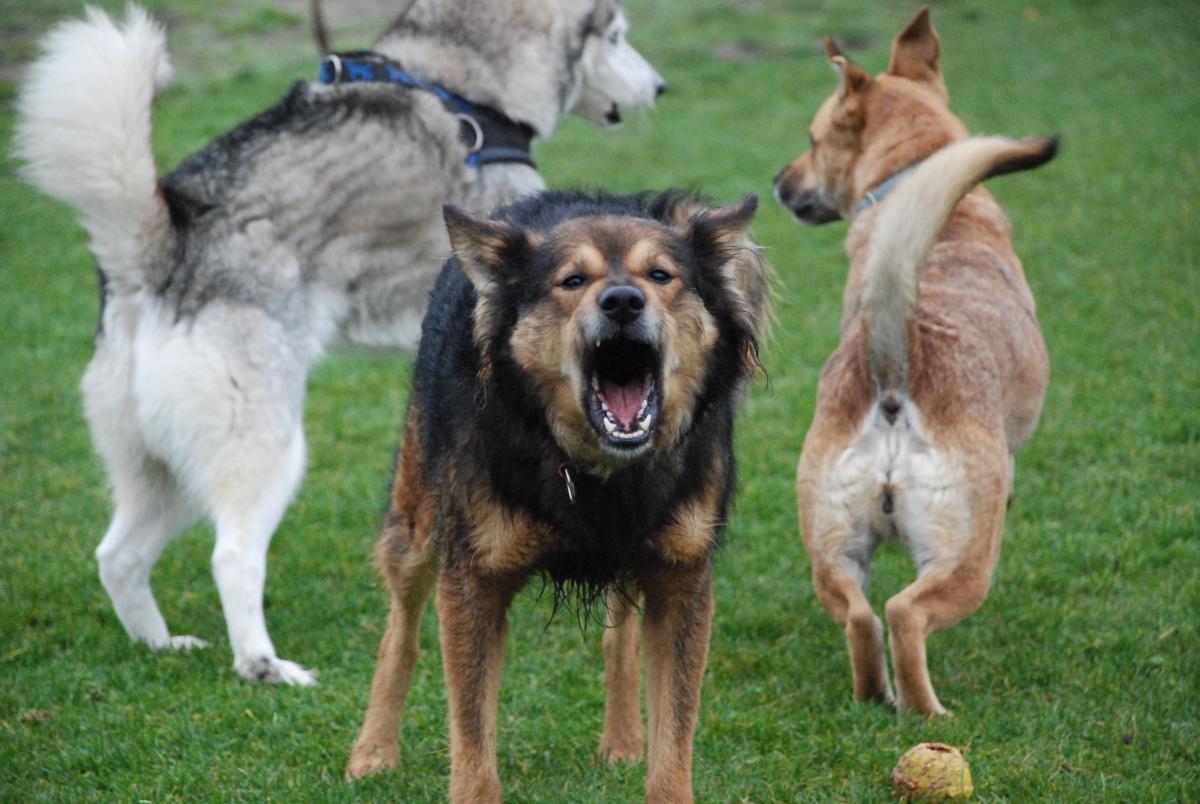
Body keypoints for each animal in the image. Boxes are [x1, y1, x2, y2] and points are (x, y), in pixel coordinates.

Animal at [13, 0, 664, 685]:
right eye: (616, 36)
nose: (659, 88)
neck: (463, 78)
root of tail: (154, 254)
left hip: (161, 469)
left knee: (118, 555)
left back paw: (160, 646)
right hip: (265, 449)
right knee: (231, 556)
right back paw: (263, 666)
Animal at [343, 189, 770, 801]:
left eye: (660, 275)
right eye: (572, 281)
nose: (622, 301)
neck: (599, 471)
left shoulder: (681, 579)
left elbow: (674, 740)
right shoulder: (473, 581)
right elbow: (471, 739)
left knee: (620, 637)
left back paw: (623, 739)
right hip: (417, 519)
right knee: (400, 629)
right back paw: (373, 751)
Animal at [773, 7, 1057, 715]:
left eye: (813, 140)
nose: (778, 183)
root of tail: (897, 369)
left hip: (833, 547)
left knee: (860, 617)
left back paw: (876, 696)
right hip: (966, 555)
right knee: (905, 614)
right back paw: (928, 710)